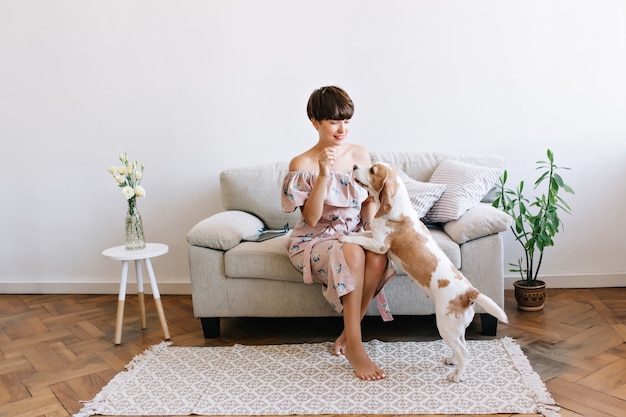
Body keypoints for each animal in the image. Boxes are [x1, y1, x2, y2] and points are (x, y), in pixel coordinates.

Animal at [338, 162, 504, 380]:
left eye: (373, 170)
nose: (355, 165)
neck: (397, 208)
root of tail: (469, 292)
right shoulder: (372, 236)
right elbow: (361, 233)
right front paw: (347, 233)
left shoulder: (379, 245)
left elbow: (359, 238)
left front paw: (343, 237)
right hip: (457, 329)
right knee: (461, 346)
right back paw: (452, 361)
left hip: (445, 326)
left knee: (465, 352)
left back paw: (457, 376)